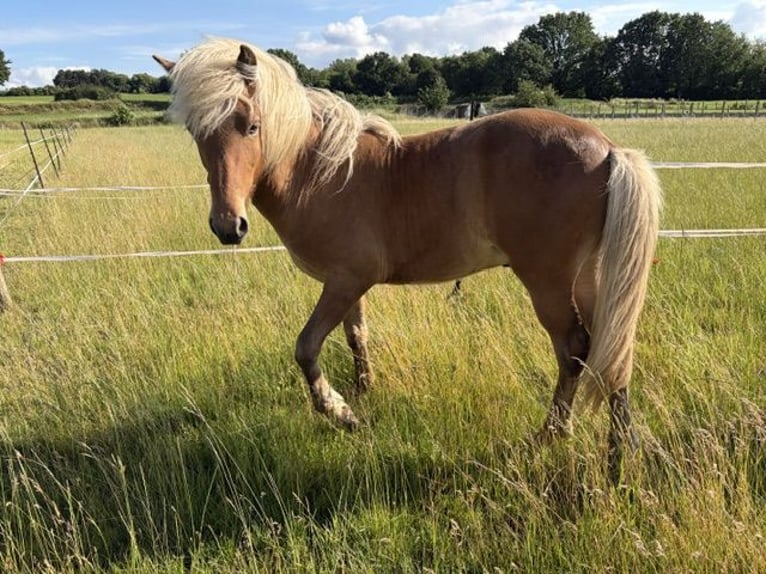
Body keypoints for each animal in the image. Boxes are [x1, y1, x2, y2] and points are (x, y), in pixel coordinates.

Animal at [153, 38, 662, 478]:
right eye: (196, 133)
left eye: (252, 126)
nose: (228, 226)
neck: (321, 172)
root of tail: (608, 149)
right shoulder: (347, 285)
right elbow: (356, 336)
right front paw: (362, 393)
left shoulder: (344, 281)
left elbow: (306, 347)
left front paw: (340, 412)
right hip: (588, 279)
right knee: (610, 347)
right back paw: (620, 450)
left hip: (548, 282)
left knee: (575, 349)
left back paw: (551, 435)